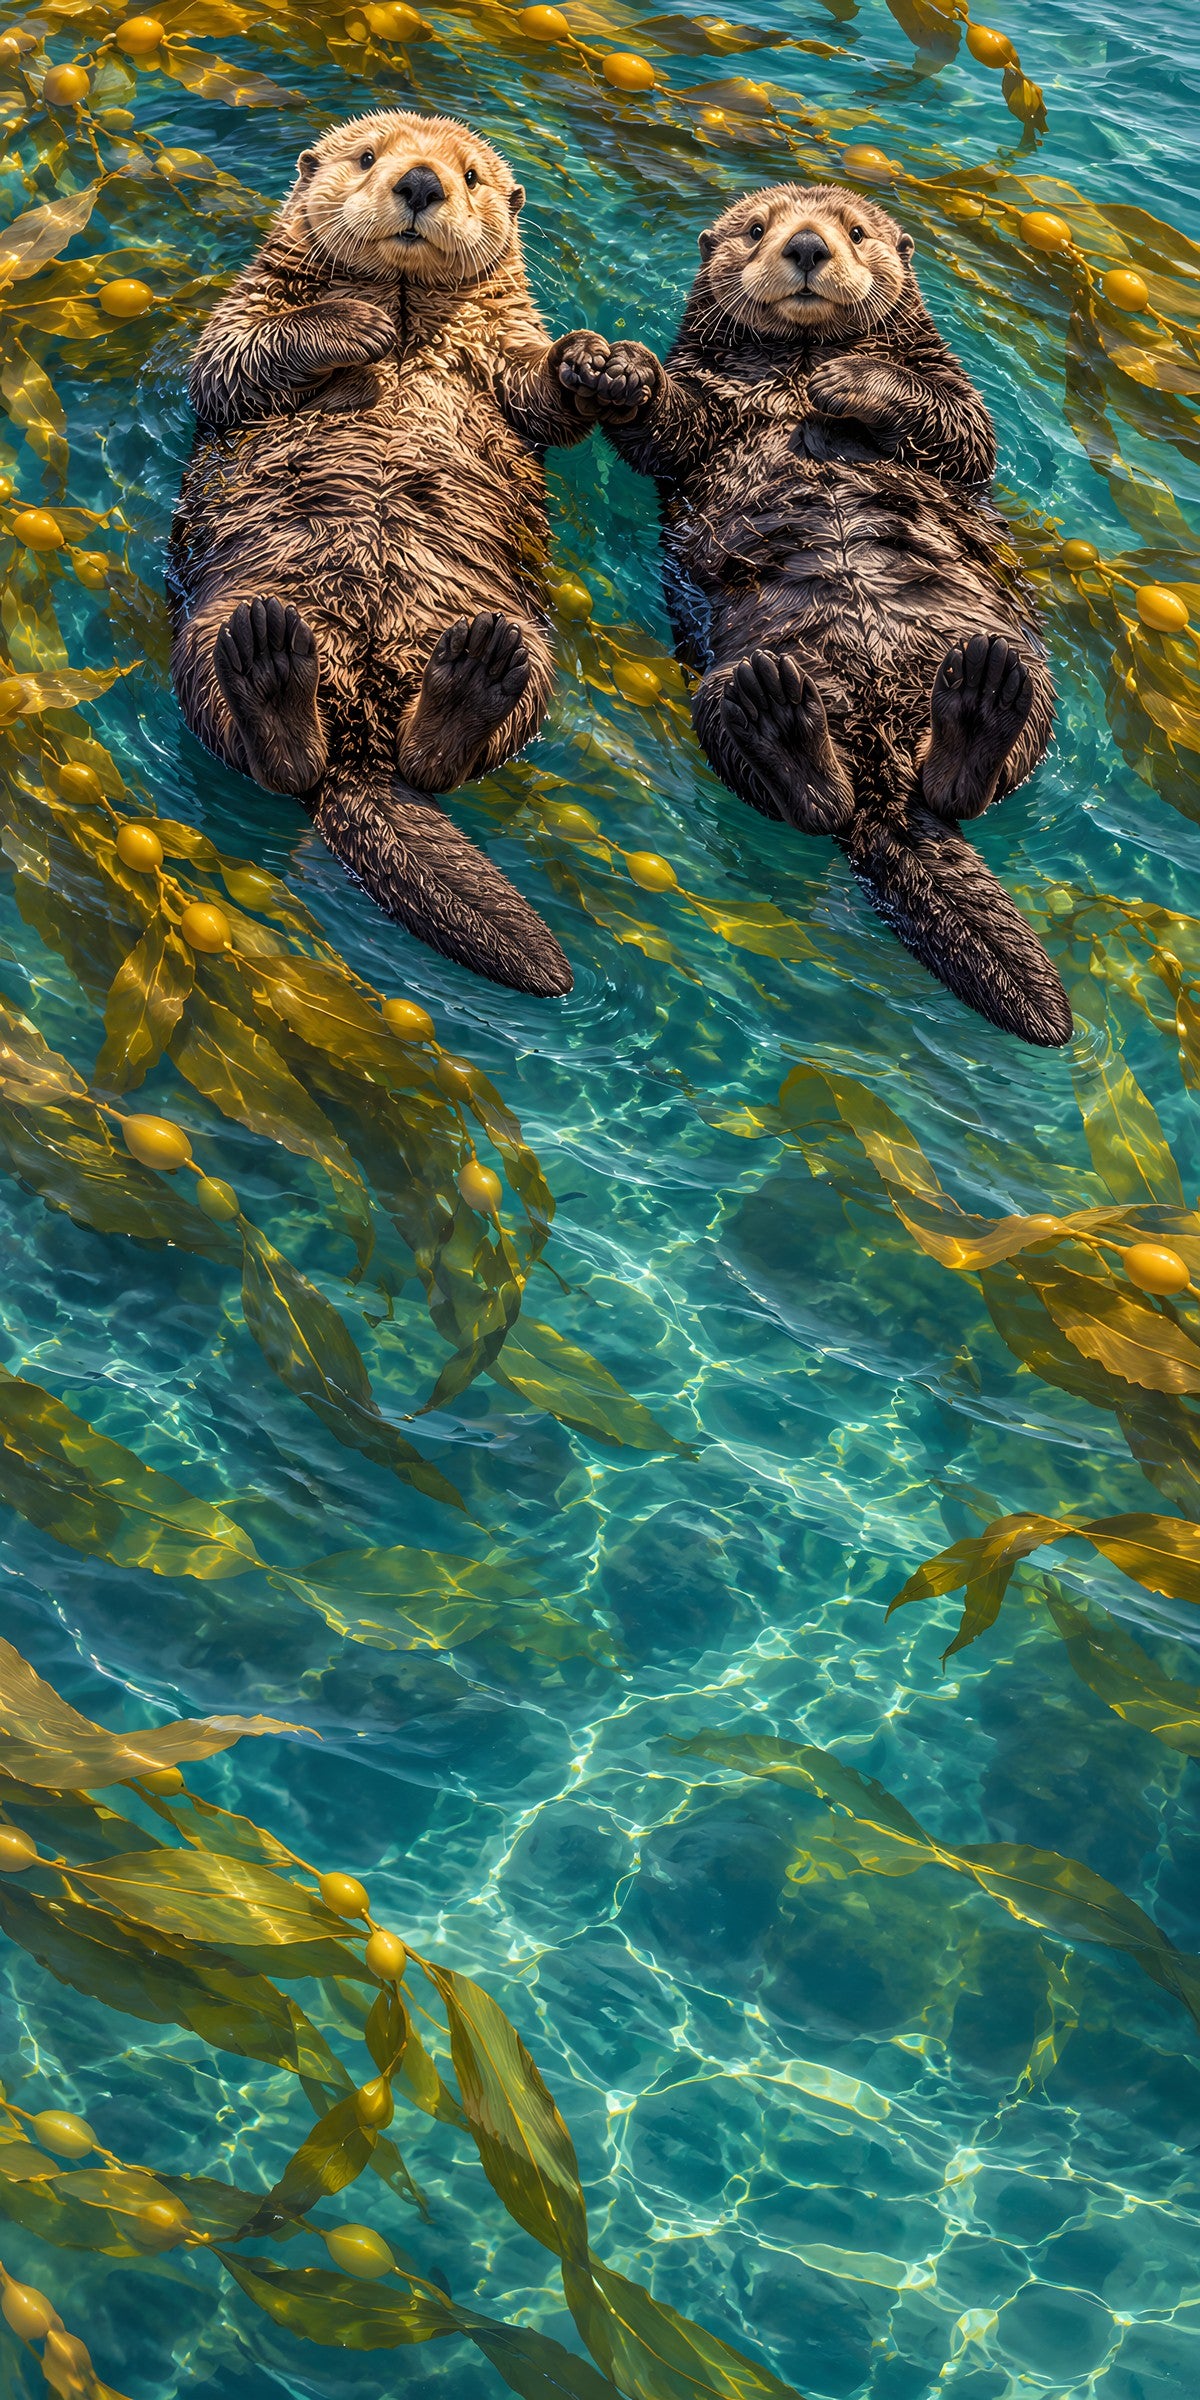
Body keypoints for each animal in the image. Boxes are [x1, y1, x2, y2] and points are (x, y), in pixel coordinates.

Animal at [168, 110, 612, 996]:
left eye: (470, 175)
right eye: (369, 157)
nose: (420, 182)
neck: (407, 304)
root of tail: (360, 748)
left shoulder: (507, 348)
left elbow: (543, 399)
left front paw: (599, 362)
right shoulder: (246, 310)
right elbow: (228, 363)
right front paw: (350, 325)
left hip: (531, 658)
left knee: (438, 763)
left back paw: (470, 680)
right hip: (208, 626)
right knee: (275, 761)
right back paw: (270, 670)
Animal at [561, 183, 1071, 1047]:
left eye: (856, 232)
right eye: (756, 229)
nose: (806, 246)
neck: (795, 365)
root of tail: (884, 783)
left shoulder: (953, 392)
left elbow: (964, 430)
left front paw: (853, 381)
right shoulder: (709, 408)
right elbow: (669, 428)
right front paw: (618, 367)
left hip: (1025, 680)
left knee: (971, 781)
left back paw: (980, 702)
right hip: (717, 696)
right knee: (813, 801)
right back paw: (783, 720)